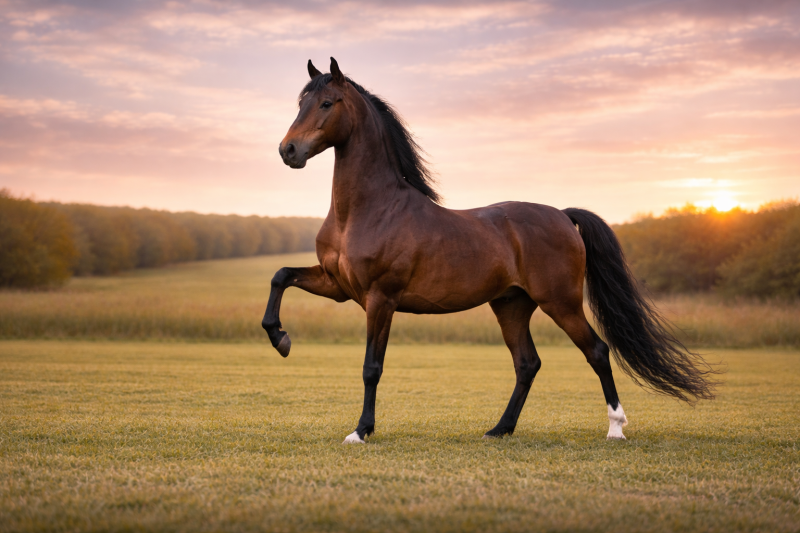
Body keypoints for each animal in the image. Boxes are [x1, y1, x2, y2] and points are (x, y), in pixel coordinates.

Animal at [263, 57, 716, 444]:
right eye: (300, 102)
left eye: (326, 102)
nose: (288, 151)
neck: (367, 209)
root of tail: (562, 215)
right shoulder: (338, 285)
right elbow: (281, 276)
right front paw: (280, 339)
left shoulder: (380, 298)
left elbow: (371, 367)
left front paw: (361, 431)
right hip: (511, 306)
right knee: (528, 363)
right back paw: (500, 429)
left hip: (561, 303)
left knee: (597, 351)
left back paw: (615, 428)